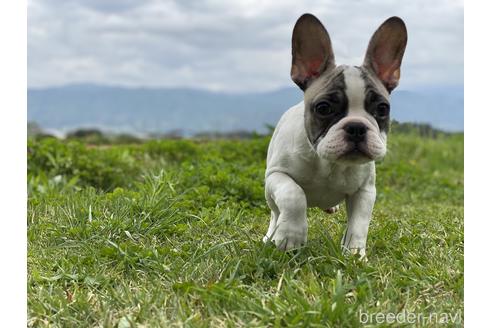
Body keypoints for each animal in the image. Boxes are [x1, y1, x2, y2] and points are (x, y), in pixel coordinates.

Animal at [266, 13, 408, 256]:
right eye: (323, 108)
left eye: (382, 109)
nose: (356, 127)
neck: (329, 164)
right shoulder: (276, 175)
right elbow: (293, 194)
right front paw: (291, 237)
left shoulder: (364, 192)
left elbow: (358, 225)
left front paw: (354, 254)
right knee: (276, 213)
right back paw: (270, 236)